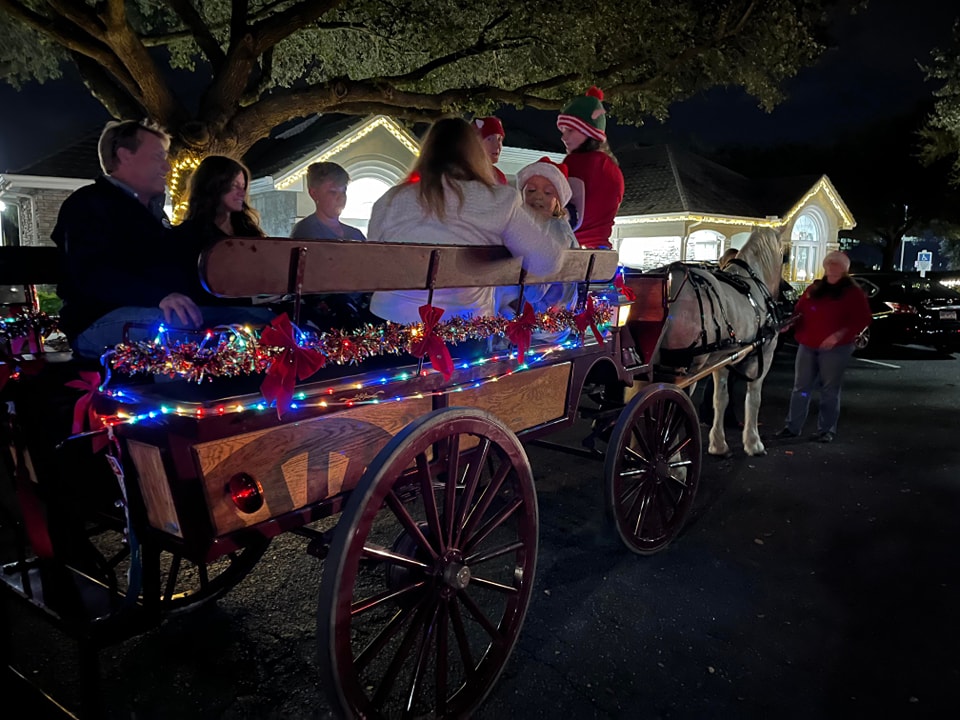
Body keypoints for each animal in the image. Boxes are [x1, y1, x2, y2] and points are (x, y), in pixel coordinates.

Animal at [660, 228, 788, 456]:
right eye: (784, 255)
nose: (785, 289)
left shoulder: (721, 360)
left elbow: (720, 398)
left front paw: (718, 444)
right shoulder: (765, 353)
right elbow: (754, 398)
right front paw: (753, 442)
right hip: (686, 368)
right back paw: (672, 459)